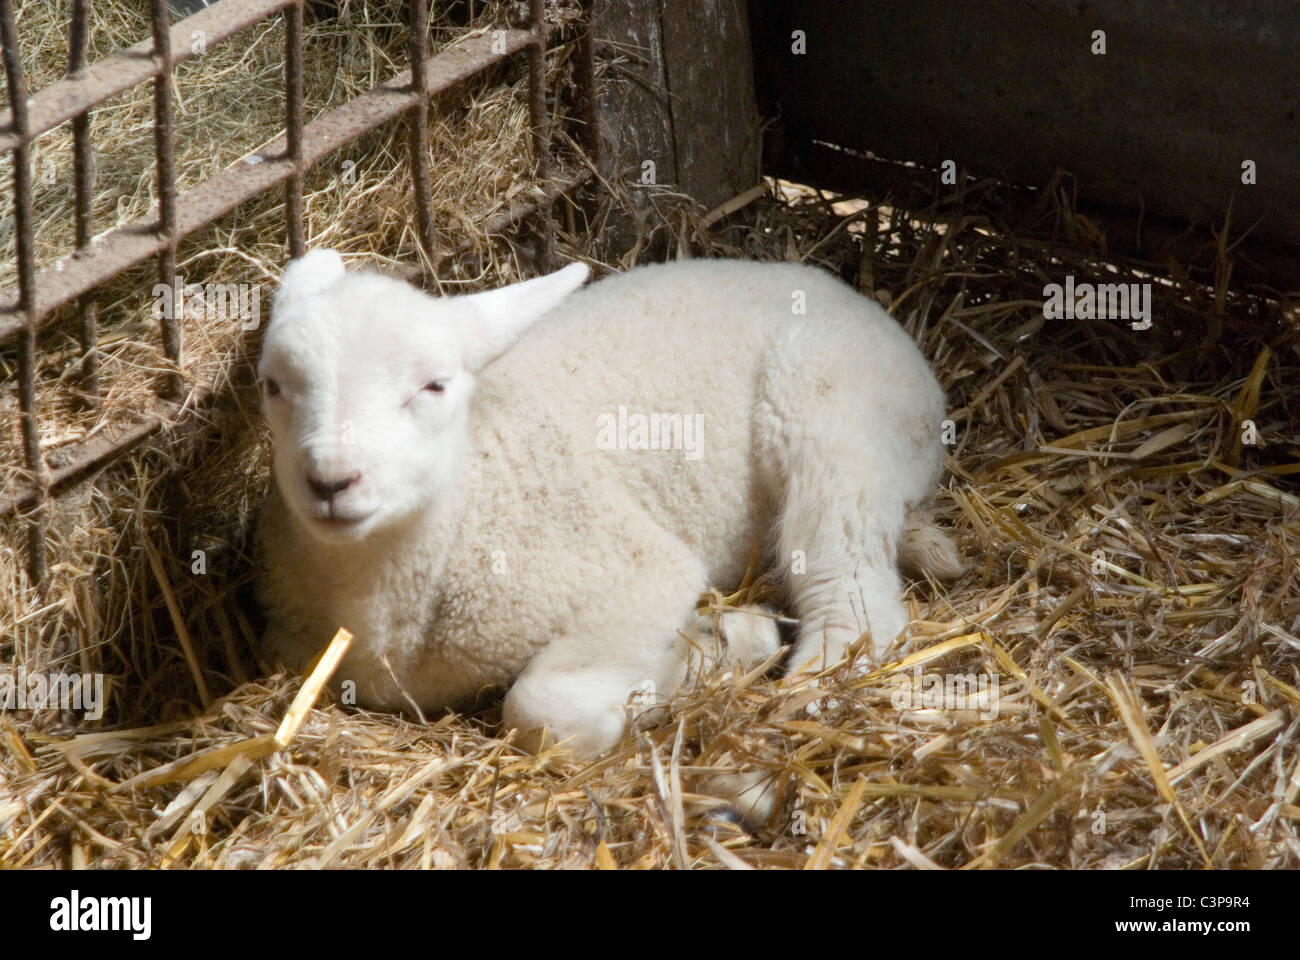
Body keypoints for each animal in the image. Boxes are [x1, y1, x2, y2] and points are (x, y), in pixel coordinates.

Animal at [256, 250, 962, 762]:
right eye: (273, 386)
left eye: (434, 385)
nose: (331, 480)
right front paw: (714, 642)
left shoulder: (639, 571)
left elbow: (539, 711)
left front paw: (698, 658)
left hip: (830, 412)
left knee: (855, 592)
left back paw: (815, 673)